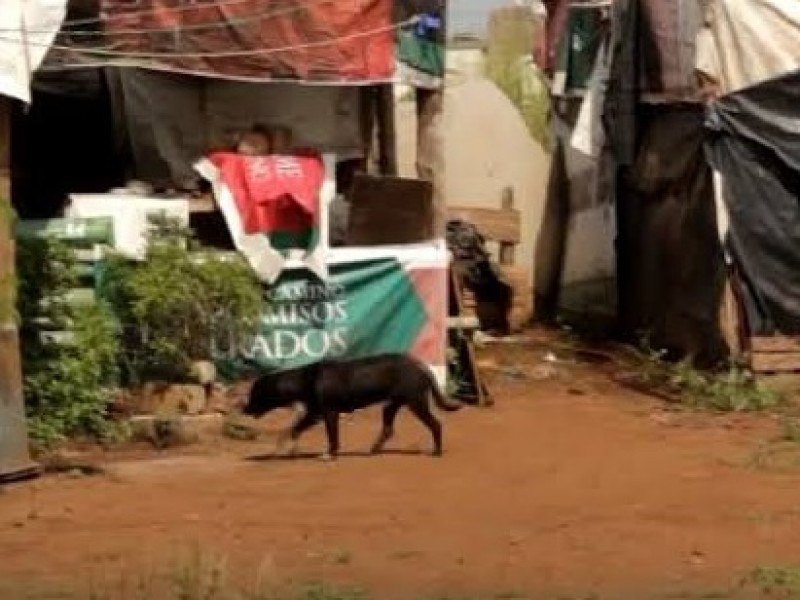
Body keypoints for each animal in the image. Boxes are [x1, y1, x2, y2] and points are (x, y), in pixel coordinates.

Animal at [241, 354, 460, 462]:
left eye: (255, 394)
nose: (244, 409)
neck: (305, 379)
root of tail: (420, 366)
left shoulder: (329, 413)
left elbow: (332, 438)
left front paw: (330, 455)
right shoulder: (315, 414)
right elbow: (293, 430)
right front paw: (289, 448)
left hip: (416, 402)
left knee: (436, 424)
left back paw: (437, 452)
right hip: (391, 406)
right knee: (388, 429)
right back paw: (373, 450)